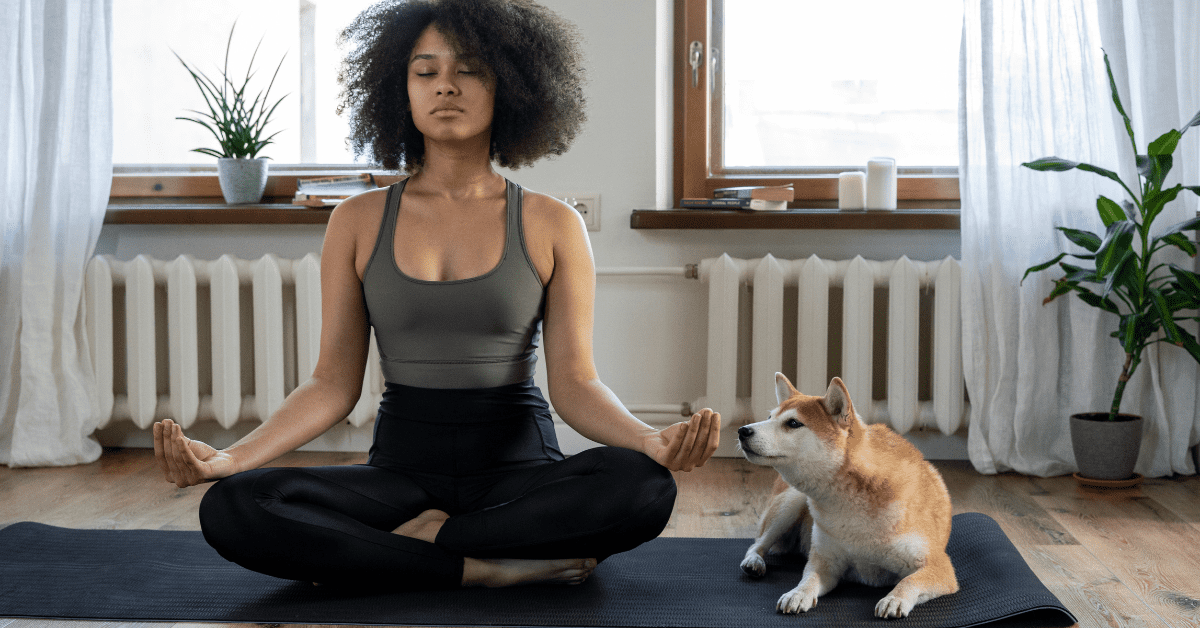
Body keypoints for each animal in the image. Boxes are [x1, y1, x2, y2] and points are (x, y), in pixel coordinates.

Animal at [729, 374, 955, 619]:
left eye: (793, 423)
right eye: (769, 417)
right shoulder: (825, 562)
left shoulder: (939, 567)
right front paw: (797, 594)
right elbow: (808, 580)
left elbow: (908, 581)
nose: (742, 430)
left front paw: (894, 599)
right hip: (790, 504)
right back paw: (754, 562)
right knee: (757, 543)